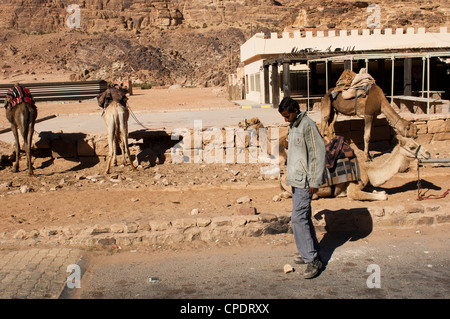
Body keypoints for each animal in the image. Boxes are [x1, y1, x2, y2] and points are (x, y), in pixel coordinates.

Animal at [280, 136, 430, 202]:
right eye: (412, 147)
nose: (428, 153)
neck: (369, 170)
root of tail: (283, 176)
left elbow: (374, 190)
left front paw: (380, 191)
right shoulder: (355, 186)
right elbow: (370, 195)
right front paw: (382, 195)